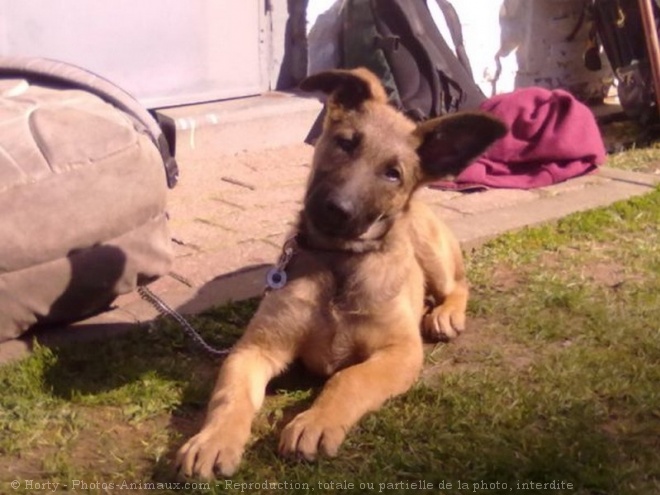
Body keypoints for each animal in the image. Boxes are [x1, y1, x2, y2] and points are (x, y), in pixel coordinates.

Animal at [175, 68, 506, 478]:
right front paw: (214, 440)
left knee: (458, 285)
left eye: (393, 174)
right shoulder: (254, 348)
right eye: (346, 143)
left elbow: (349, 379)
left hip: (430, 248)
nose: (337, 209)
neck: (338, 262)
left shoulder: (399, 350)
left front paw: (316, 421)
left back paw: (445, 314)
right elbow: (230, 396)